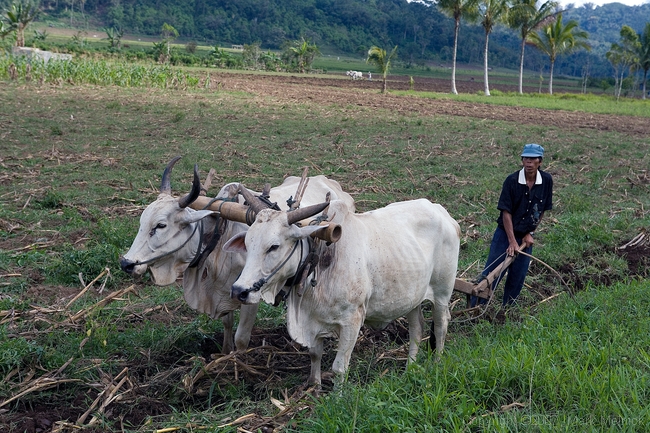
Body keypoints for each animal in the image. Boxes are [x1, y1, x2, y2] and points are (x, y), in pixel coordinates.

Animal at [225, 194, 458, 384]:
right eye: (248, 244)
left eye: (274, 246)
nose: (239, 291)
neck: (318, 262)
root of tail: (442, 212)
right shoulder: (314, 320)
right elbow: (315, 355)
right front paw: (315, 387)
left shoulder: (352, 321)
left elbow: (339, 369)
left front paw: (336, 398)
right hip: (412, 296)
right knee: (417, 328)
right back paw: (409, 368)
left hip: (442, 293)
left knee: (441, 326)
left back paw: (437, 364)